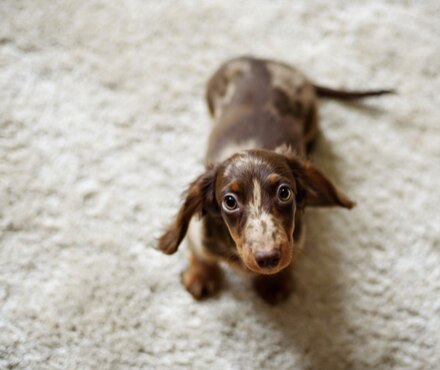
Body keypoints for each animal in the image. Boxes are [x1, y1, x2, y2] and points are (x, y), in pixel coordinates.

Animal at [156, 55, 394, 304]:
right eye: (230, 201)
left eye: (284, 192)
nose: (268, 257)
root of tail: (259, 59)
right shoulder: (199, 236)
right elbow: (200, 254)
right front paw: (200, 276)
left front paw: (274, 283)